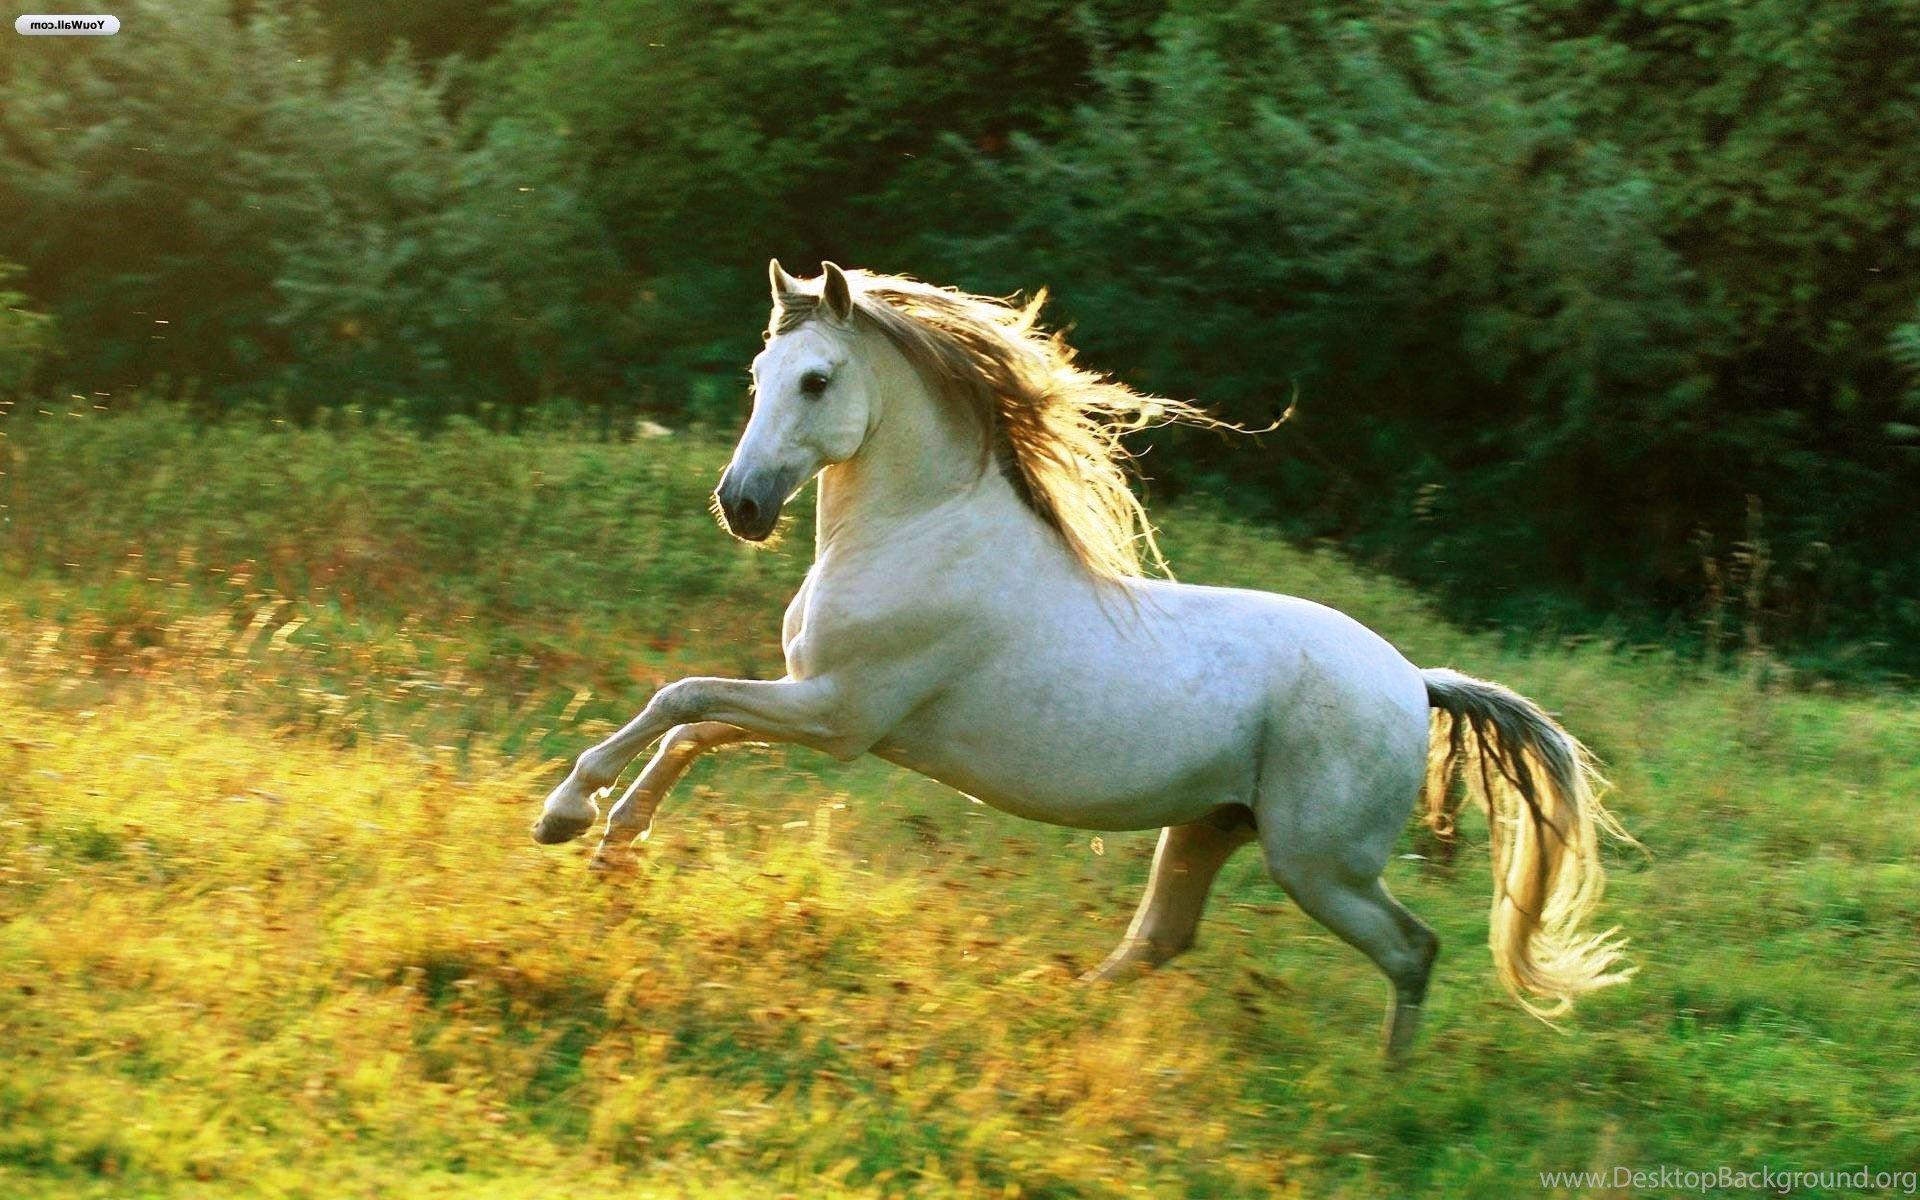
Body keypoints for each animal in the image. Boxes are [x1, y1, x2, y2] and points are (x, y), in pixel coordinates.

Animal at [531, 260, 1634, 1059]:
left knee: (1412, 948)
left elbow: (681, 701)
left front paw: (567, 813)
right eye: (759, 378)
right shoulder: (815, 702)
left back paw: (1386, 1084)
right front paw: (612, 844)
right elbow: (691, 727)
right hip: (1212, 826)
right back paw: (1048, 1009)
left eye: (816, 380)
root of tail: (1416, 681)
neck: (921, 535)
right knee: (1163, 939)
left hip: (1318, 863)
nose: (742, 505)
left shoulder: (839, 715)